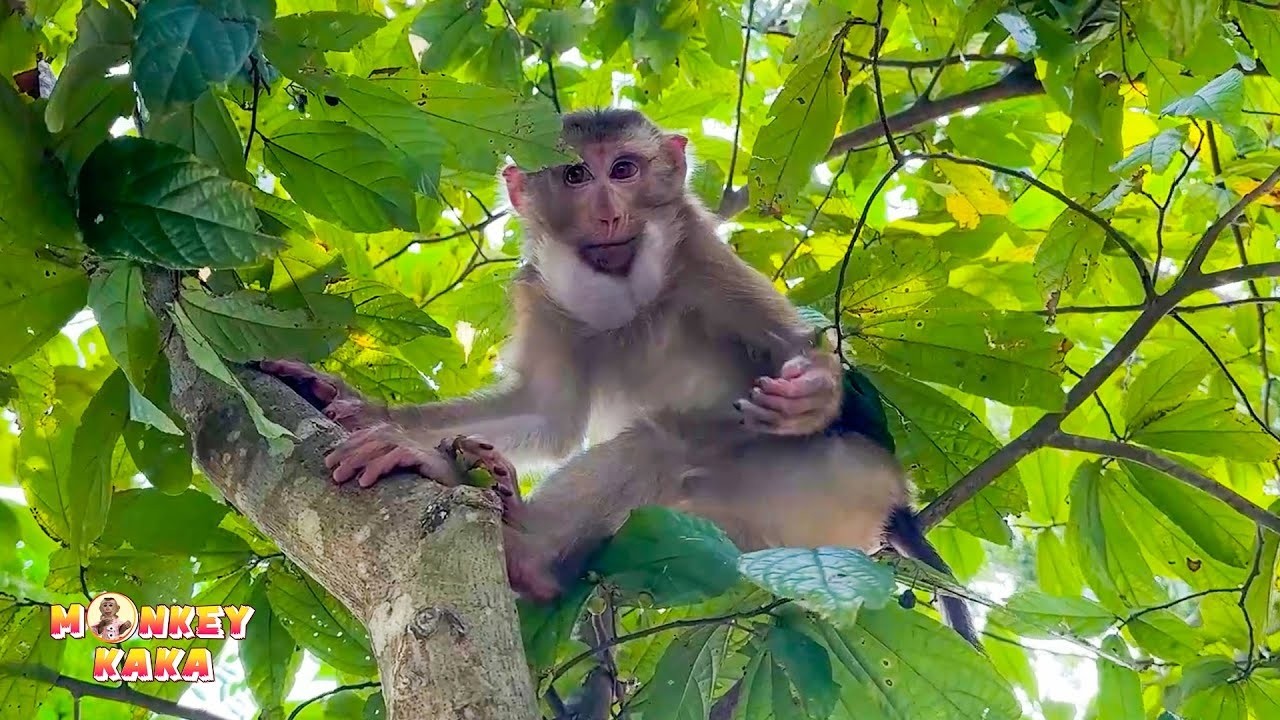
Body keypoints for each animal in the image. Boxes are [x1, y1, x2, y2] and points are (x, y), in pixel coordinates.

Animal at [258, 108, 979, 647]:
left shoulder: (701, 256)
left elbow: (797, 353)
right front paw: (360, 407)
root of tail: (896, 503)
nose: (609, 212)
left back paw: (526, 548)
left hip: (832, 485)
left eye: (625, 170)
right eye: (579, 175)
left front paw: (814, 393)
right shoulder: (540, 293)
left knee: (666, 442)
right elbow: (548, 416)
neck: (627, 293)